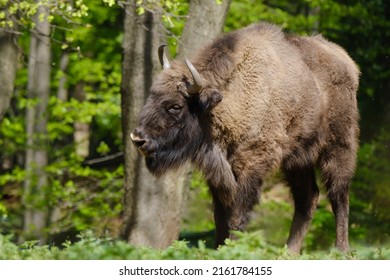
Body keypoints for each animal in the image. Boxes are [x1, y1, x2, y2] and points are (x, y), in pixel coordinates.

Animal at [131, 23, 360, 253]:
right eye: (152, 95)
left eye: (176, 106)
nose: (138, 138)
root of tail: (347, 62)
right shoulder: (219, 174)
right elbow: (220, 218)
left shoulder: (251, 166)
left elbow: (236, 218)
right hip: (297, 160)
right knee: (308, 199)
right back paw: (290, 252)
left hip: (338, 147)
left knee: (339, 195)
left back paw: (341, 249)